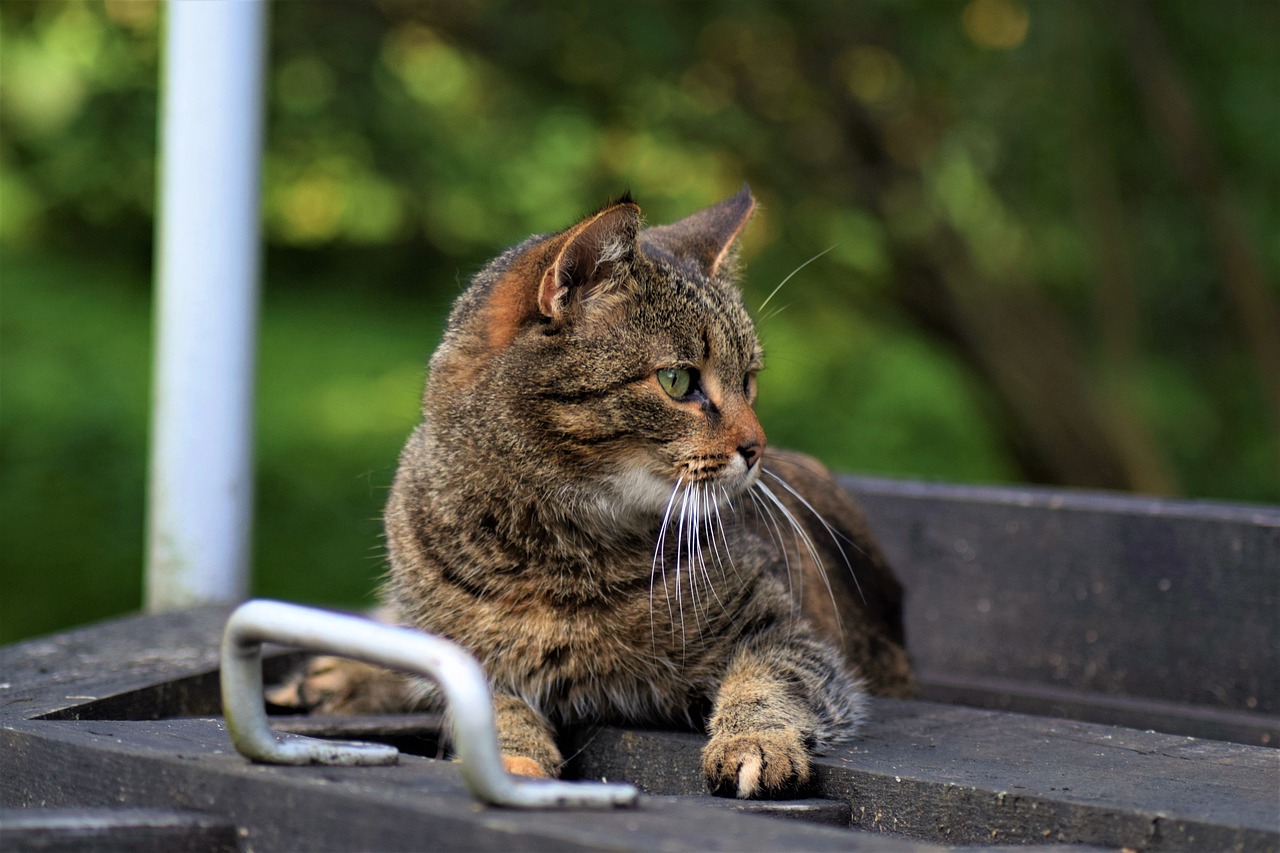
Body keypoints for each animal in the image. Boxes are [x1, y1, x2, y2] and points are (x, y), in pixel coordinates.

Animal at [282, 185, 921, 799]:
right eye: (678, 380)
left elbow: (770, 680)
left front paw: (755, 742)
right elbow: (484, 704)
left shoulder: (786, 631)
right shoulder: (463, 654)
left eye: (749, 381)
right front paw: (512, 759)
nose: (757, 446)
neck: (557, 551)